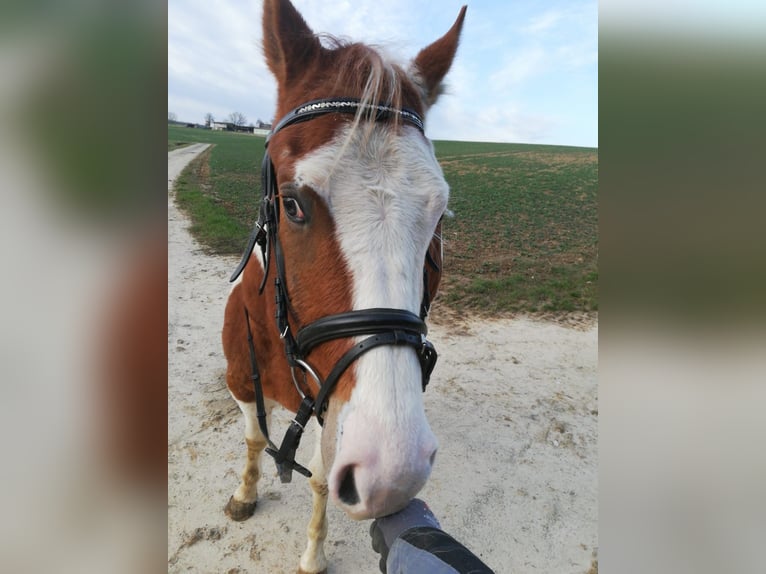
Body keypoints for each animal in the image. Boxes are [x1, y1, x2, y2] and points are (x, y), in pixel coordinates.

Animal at [219, 2, 464, 572]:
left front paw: (313, 552)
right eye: (291, 204)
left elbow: (321, 482)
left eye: (439, 215)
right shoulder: (240, 383)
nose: (395, 471)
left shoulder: (336, 415)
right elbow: (254, 437)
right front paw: (245, 493)